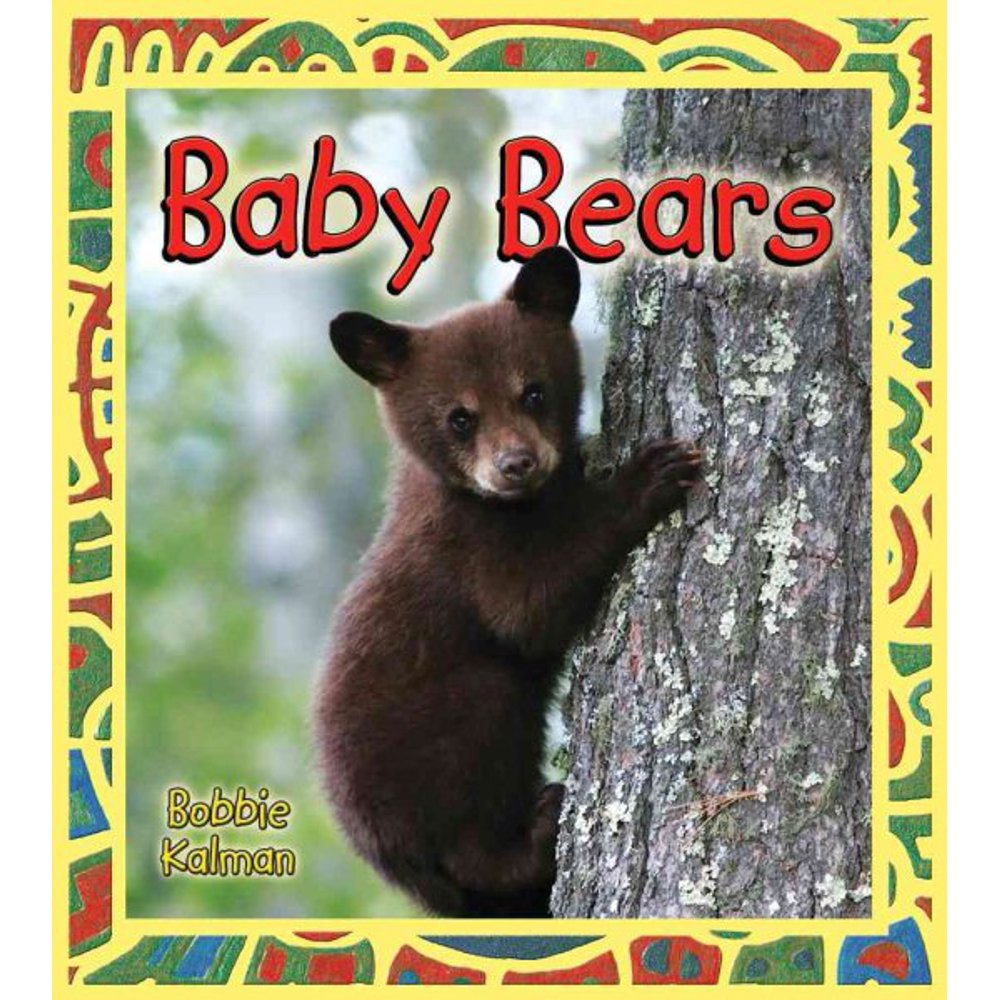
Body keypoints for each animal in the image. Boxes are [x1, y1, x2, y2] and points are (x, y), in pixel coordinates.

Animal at [314, 246, 702, 917]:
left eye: (533, 392)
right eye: (459, 418)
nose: (515, 463)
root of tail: (395, 867)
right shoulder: (467, 548)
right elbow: (528, 609)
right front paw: (648, 475)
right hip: (439, 743)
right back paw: (540, 829)